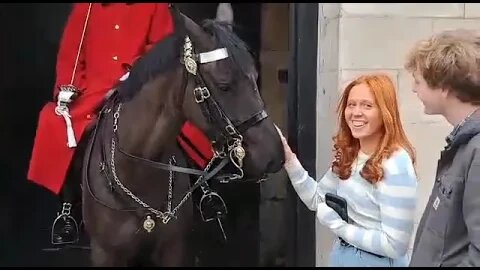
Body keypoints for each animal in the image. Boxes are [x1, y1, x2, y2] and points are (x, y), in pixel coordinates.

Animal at [75, 5, 284, 266]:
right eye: (224, 86)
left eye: (255, 77)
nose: (275, 155)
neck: (137, 171)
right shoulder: (105, 253)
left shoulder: (173, 249)